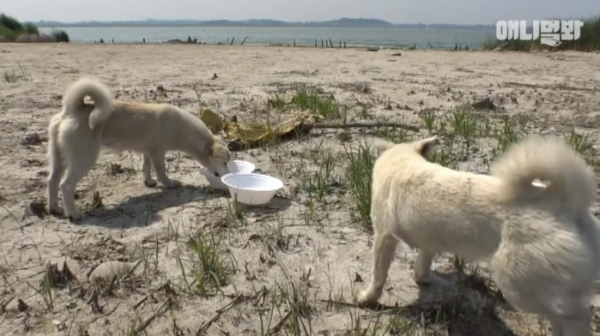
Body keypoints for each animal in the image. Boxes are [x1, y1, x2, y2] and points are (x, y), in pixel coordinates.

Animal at [44, 77, 231, 222]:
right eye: (225, 163)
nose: (228, 175)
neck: (182, 128)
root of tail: (72, 110)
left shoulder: (148, 151)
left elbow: (146, 168)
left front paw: (149, 182)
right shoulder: (158, 153)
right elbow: (161, 171)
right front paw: (169, 184)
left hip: (58, 157)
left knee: (52, 180)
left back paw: (55, 208)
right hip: (84, 158)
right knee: (66, 185)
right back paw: (74, 214)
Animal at [358, 135, 596, 336]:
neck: (403, 162)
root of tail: (564, 201)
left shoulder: (383, 237)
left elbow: (378, 276)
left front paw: (367, 298)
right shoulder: (429, 240)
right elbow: (423, 261)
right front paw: (421, 278)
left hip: (520, 287)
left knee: (574, 315)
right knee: (562, 315)